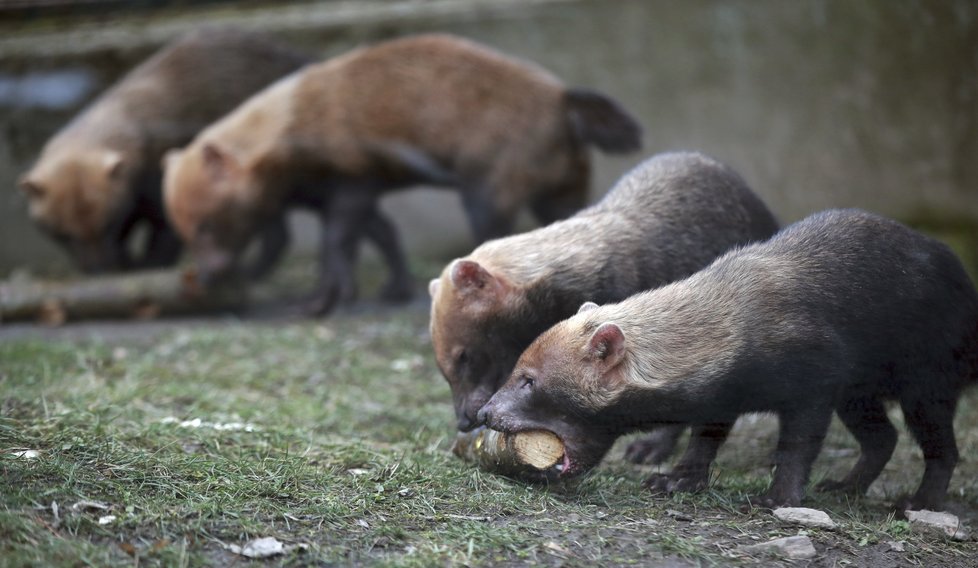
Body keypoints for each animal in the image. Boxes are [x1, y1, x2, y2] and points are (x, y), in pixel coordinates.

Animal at [19, 28, 308, 272]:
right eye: (63, 233)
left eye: (108, 224)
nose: (100, 269)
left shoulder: (161, 181)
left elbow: (165, 234)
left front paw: (146, 263)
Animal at [161, 34, 640, 316]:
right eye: (181, 229)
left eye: (206, 223)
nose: (207, 277)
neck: (295, 121)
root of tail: (563, 98)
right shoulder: (351, 195)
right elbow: (382, 234)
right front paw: (393, 289)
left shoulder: (352, 185)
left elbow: (337, 242)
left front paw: (326, 299)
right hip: (560, 190)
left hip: (487, 192)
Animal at [480, 209, 976, 510]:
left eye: (528, 379)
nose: (482, 412)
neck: (736, 321)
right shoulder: (721, 398)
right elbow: (703, 441)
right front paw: (676, 480)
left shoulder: (815, 386)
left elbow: (796, 446)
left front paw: (778, 497)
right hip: (860, 396)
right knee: (883, 440)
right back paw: (844, 488)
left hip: (925, 387)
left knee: (941, 450)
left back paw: (917, 502)